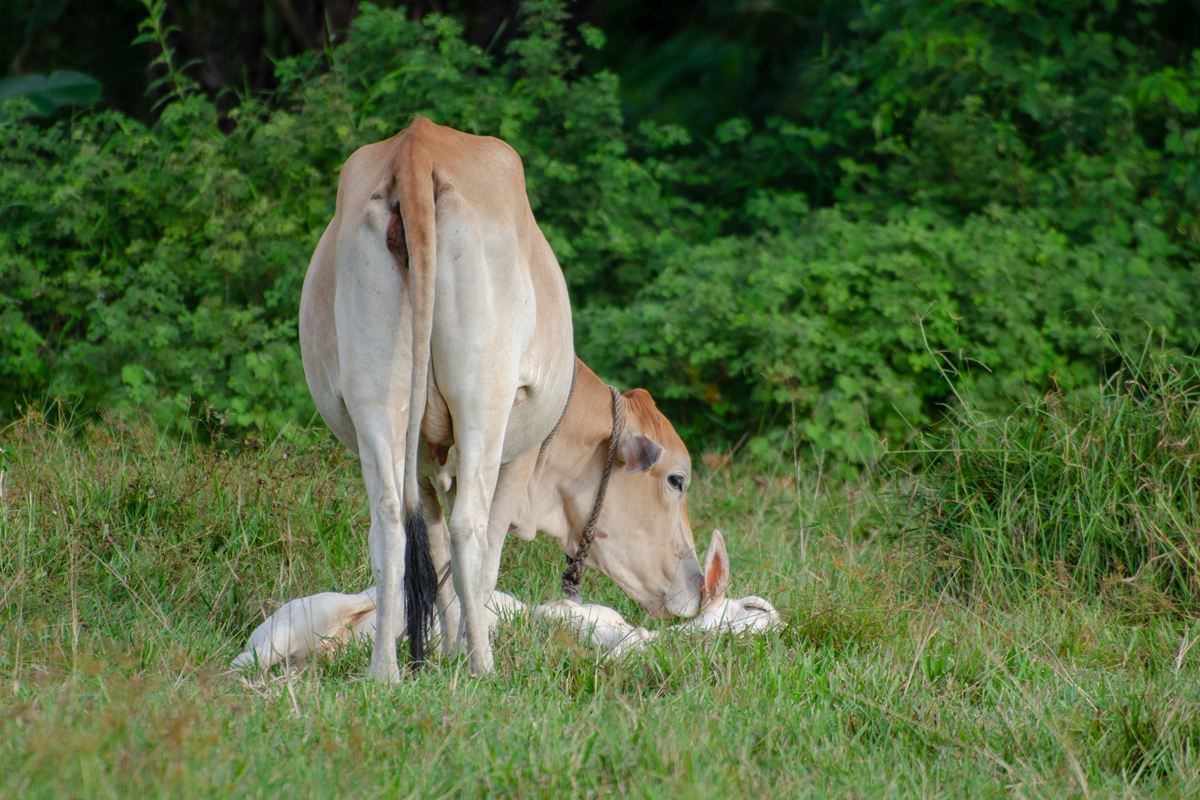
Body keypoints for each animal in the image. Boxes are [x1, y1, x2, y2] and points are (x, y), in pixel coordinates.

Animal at [299, 117, 703, 680]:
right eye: (676, 480)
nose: (700, 587)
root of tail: (417, 146)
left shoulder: (425, 466)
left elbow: (436, 557)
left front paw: (444, 652)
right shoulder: (518, 457)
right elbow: (481, 554)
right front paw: (465, 651)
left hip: (377, 404)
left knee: (389, 526)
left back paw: (386, 672)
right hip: (485, 404)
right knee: (472, 528)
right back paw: (484, 669)